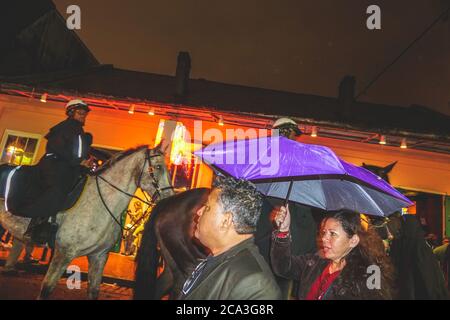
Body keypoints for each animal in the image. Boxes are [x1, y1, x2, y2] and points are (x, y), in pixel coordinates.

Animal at [0, 144, 174, 298]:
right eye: (158, 167)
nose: (169, 198)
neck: (100, 203)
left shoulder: (99, 256)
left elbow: (93, 292)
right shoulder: (63, 254)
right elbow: (46, 290)